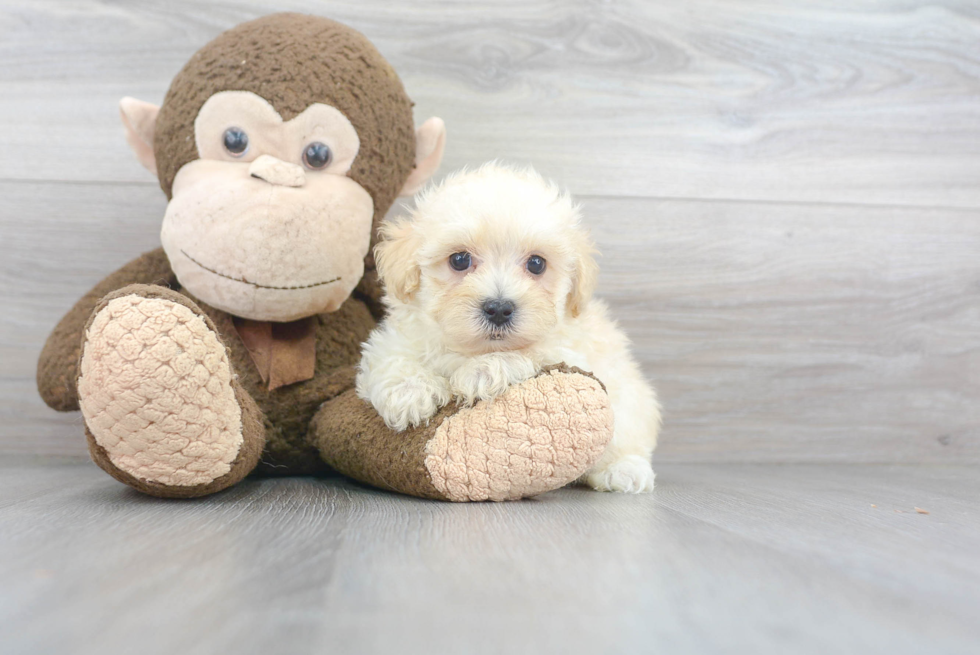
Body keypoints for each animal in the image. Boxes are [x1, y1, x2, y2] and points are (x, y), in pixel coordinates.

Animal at [356, 163, 664, 492]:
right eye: (459, 260)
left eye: (537, 264)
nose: (499, 309)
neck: (472, 347)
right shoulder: (397, 337)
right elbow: (391, 357)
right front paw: (410, 393)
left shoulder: (570, 349)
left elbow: (530, 352)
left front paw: (483, 371)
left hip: (631, 404)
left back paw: (624, 470)